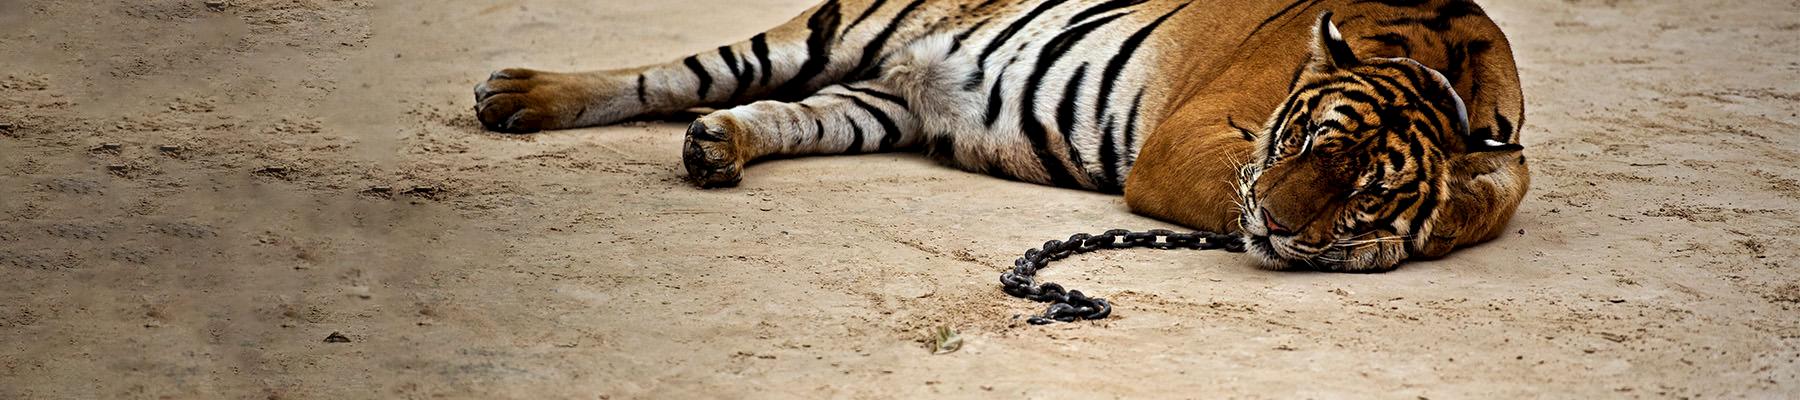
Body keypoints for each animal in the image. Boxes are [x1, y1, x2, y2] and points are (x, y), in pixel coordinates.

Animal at [471, 0, 1526, 272]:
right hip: (843, 25)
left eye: (1364, 186)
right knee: (676, 74)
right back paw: (516, 94)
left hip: (874, 103)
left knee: (785, 112)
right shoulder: (1184, 147)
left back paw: (717, 147)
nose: (1273, 229)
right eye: (1298, 141)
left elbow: (1488, 189)